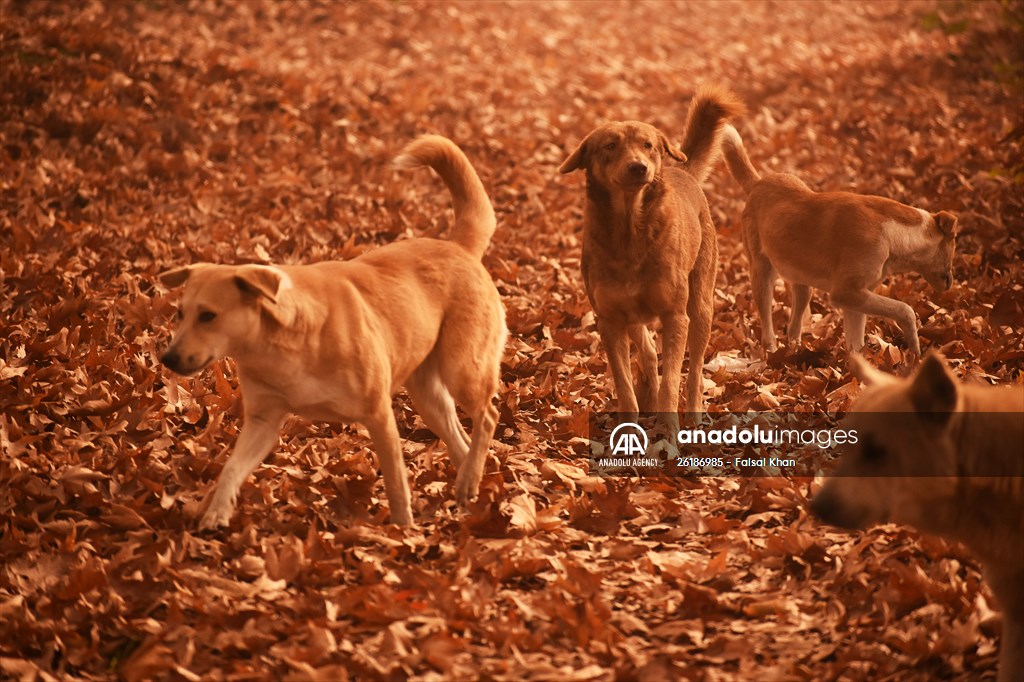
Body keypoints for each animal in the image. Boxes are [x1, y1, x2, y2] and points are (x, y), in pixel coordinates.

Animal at [159, 133, 507, 524]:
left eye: (208, 316)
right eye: (180, 313)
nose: (168, 358)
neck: (281, 343)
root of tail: (457, 247)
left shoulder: (378, 414)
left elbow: (396, 482)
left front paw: (403, 529)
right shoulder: (263, 421)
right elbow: (232, 468)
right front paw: (216, 514)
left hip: (461, 368)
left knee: (488, 416)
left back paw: (470, 477)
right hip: (428, 394)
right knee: (462, 440)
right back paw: (468, 486)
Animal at [561, 83, 745, 425]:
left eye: (648, 145)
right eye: (610, 146)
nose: (638, 167)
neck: (629, 230)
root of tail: (683, 171)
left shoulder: (675, 316)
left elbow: (672, 381)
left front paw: (669, 428)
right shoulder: (609, 320)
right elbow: (624, 384)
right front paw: (630, 426)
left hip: (700, 306)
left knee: (695, 369)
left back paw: (693, 415)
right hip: (633, 314)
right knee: (646, 350)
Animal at [724, 124, 954, 356]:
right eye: (953, 248)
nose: (951, 283)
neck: (892, 234)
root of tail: (758, 183)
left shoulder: (858, 299)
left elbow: (856, 344)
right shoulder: (846, 293)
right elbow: (905, 309)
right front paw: (915, 351)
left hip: (803, 285)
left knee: (793, 325)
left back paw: (794, 351)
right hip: (762, 275)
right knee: (767, 328)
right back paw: (771, 351)